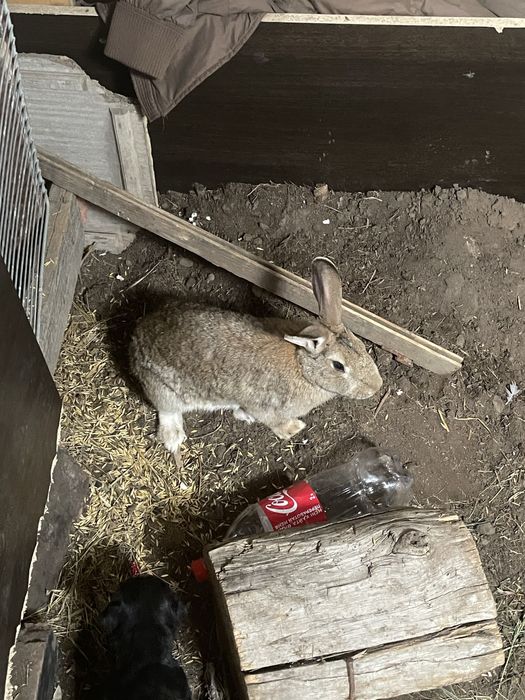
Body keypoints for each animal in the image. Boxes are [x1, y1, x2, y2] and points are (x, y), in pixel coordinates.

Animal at [129, 257, 382, 455]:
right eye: (339, 366)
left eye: (362, 346)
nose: (376, 387)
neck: (303, 367)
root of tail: (136, 339)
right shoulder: (267, 406)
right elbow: (273, 421)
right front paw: (293, 429)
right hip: (164, 390)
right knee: (167, 411)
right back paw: (173, 438)